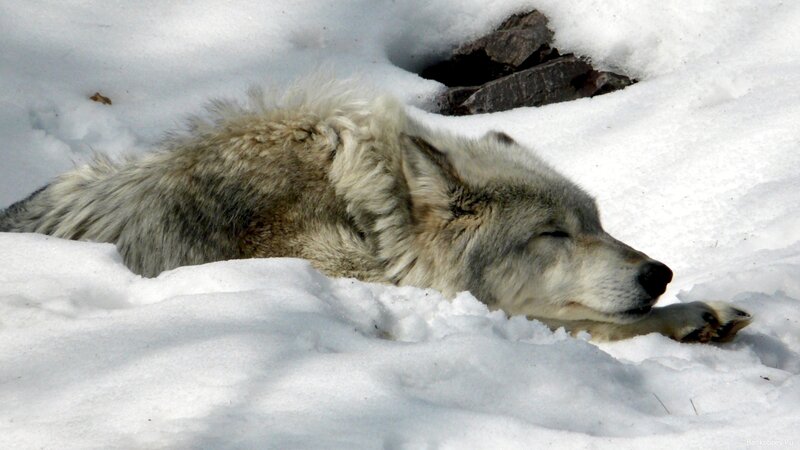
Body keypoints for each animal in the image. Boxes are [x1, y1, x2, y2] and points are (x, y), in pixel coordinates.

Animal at [0, 79, 751, 342]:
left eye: (597, 225)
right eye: (552, 234)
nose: (659, 273)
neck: (367, 217)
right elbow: (573, 320)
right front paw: (689, 315)